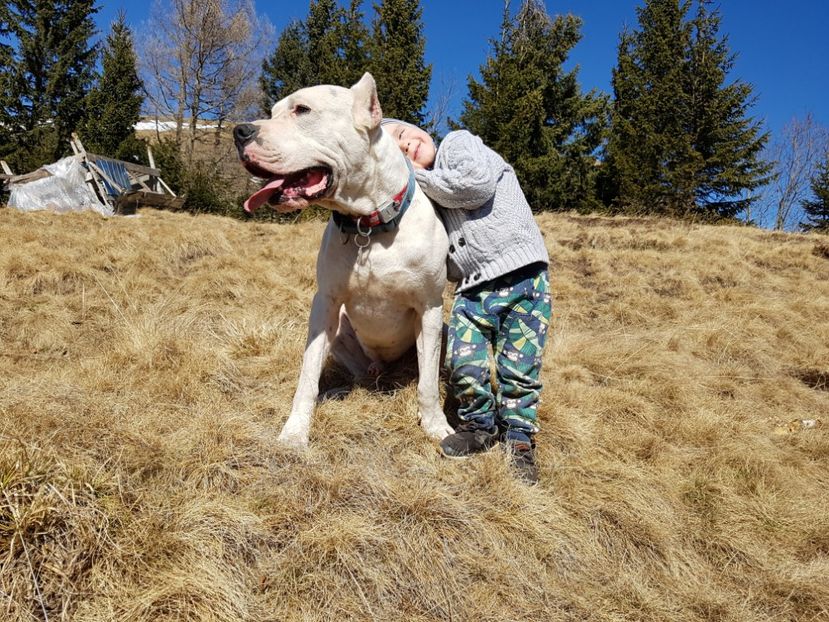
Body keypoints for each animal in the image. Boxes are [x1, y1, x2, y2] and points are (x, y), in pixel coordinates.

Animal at [233, 74, 452, 448]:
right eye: (273, 111)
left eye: (302, 109)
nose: (239, 131)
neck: (368, 225)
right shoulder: (325, 304)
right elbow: (308, 373)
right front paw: (296, 431)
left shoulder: (429, 308)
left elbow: (427, 385)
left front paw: (436, 424)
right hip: (339, 334)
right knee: (357, 372)